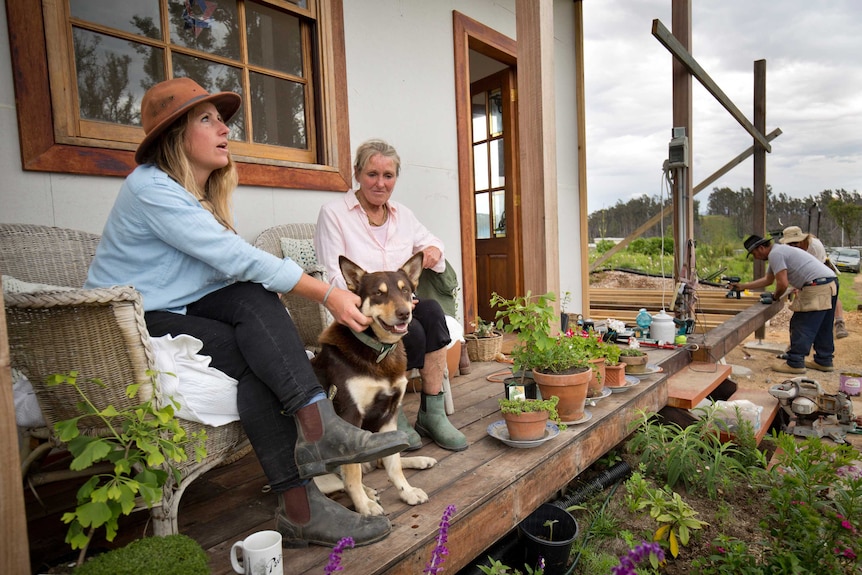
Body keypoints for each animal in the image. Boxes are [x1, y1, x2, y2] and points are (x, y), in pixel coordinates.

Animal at [310, 254, 436, 516]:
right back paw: (367, 493)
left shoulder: (389, 414)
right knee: (342, 478)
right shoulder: (350, 417)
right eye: (379, 293)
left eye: (406, 291)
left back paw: (419, 461)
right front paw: (363, 504)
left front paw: (407, 492)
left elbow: (393, 465)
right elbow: (352, 473)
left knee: (384, 458)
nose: (405, 313)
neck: (378, 351)